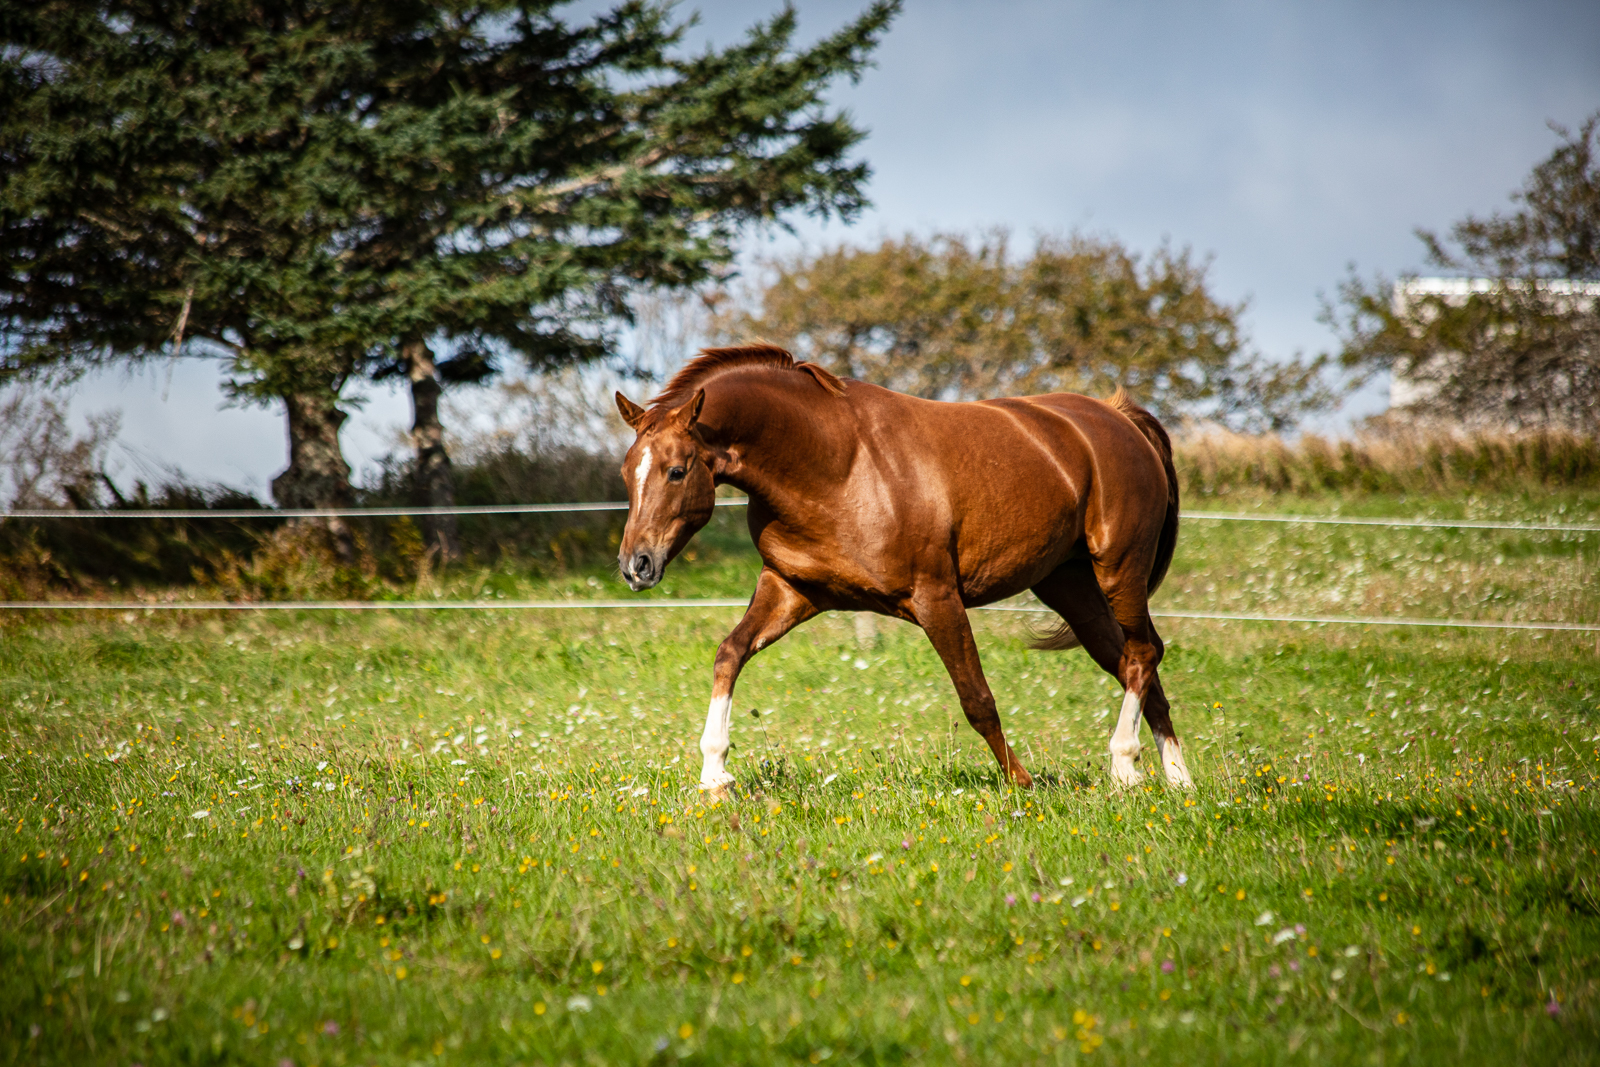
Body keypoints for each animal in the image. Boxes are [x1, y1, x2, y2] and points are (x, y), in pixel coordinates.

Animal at [614, 343, 1189, 797]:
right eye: (625, 472)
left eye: (676, 471)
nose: (635, 566)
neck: (835, 462)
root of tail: (1118, 418)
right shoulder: (791, 589)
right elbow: (729, 654)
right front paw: (715, 775)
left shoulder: (937, 598)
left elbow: (977, 699)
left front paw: (1022, 782)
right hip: (1069, 586)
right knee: (1133, 662)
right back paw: (1177, 780)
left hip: (1118, 570)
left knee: (1143, 654)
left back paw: (1125, 767)